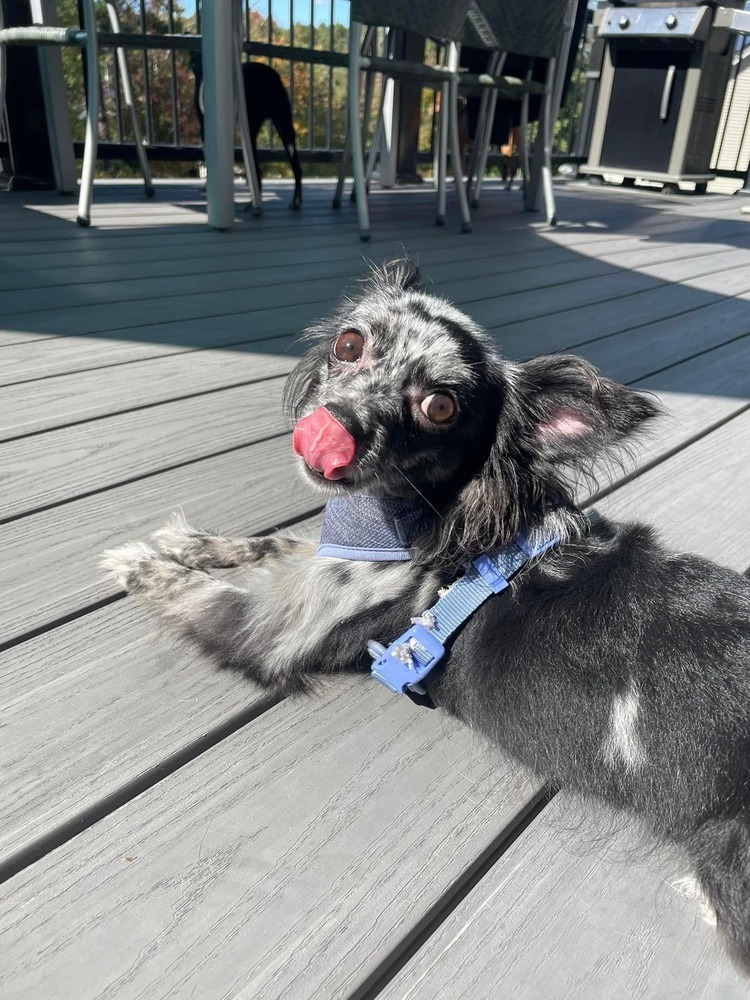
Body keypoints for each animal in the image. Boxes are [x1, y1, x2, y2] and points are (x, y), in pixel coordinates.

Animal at [103, 262, 750, 972]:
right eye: (350, 344)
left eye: (439, 406)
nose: (331, 428)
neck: (411, 524)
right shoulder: (315, 568)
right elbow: (269, 545)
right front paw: (190, 543)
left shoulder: (277, 629)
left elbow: (202, 596)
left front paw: (139, 563)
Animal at [189, 51, 304, 211]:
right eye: (194, 64)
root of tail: (270, 74)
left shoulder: (205, 133)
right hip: (284, 126)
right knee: (295, 167)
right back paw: (295, 201)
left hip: (254, 127)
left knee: (258, 167)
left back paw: (254, 204)